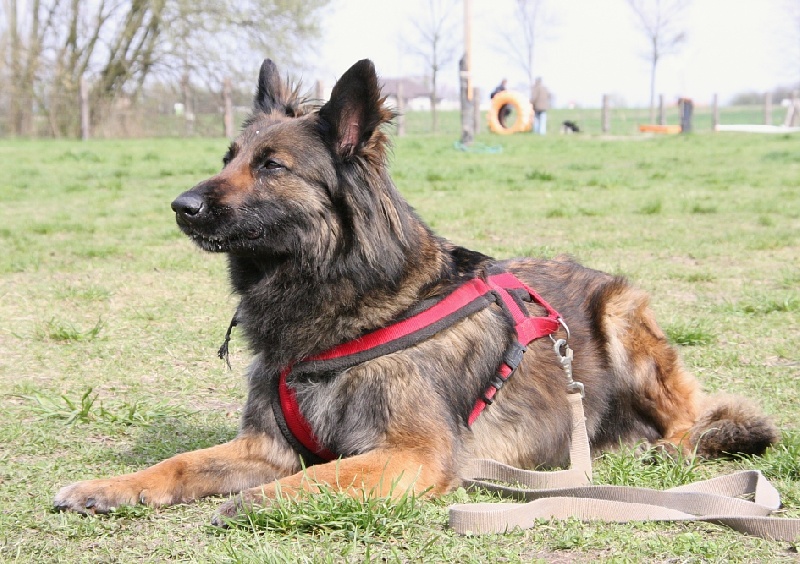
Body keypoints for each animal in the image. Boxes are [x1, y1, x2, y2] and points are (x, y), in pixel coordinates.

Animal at [53, 59, 780, 524]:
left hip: (622, 314)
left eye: (271, 167)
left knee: (691, 417)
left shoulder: (411, 453)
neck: (338, 299)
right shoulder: (265, 447)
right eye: (227, 157)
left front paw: (262, 501)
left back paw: (668, 446)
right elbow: (178, 463)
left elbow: (322, 473)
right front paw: (109, 486)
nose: (181, 206)